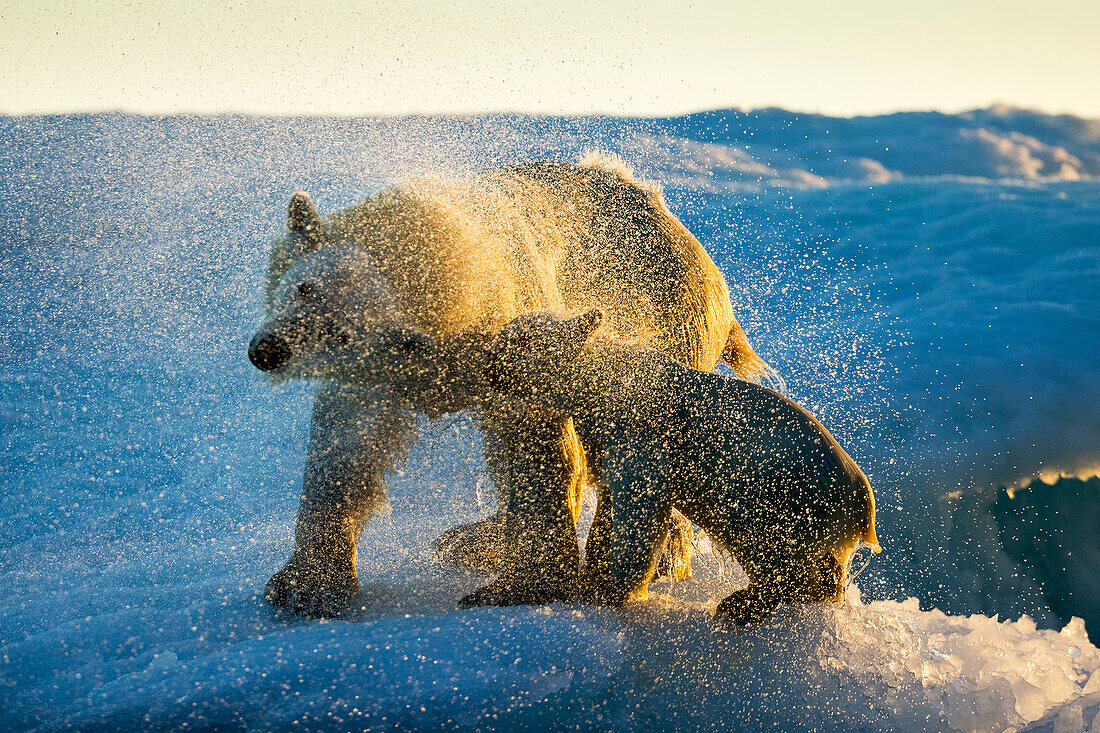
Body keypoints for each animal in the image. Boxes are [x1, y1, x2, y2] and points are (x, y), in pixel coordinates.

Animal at [247, 155, 774, 616]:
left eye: (343, 331)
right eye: (304, 288)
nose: (268, 350)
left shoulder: (512, 334)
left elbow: (535, 445)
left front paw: (523, 586)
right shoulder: (372, 378)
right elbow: (345, 447)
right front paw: (305, 586)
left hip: (665, 315)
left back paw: (647, 559)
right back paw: (475, 538)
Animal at [481, 310, 875, 620]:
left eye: (517, 336)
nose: (486, 357)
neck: (610, 381)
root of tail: (863, 507)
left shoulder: (643, 433)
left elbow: (640, 511)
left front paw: (607, 590)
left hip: (783, 494)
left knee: (773, 551)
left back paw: (740, 604)